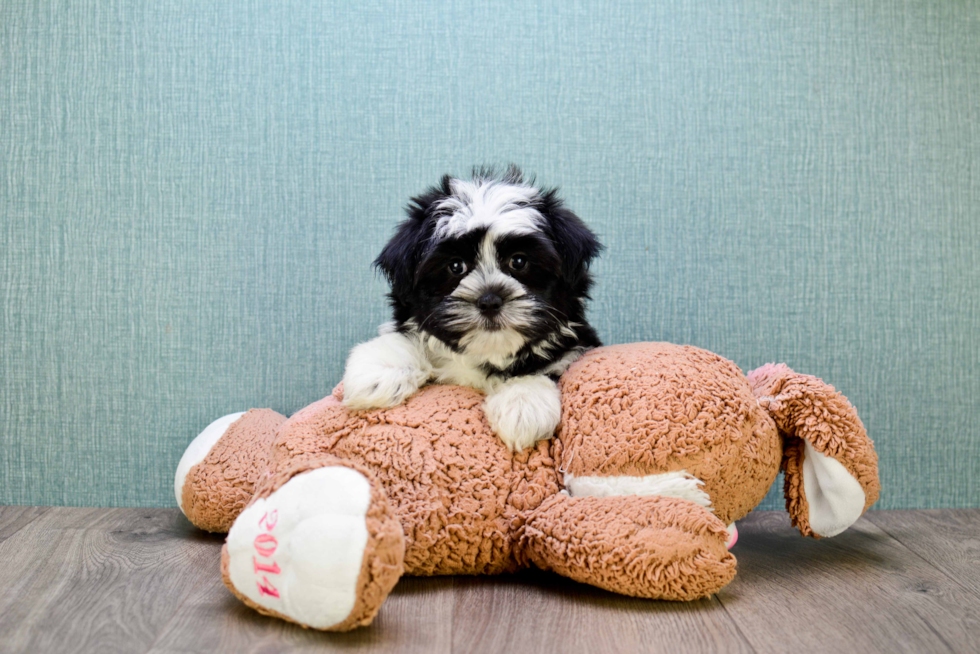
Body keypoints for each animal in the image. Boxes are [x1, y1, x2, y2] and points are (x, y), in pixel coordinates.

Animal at [340, 168, 600, 452]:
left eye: (519, 261)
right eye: (456, 266)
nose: (489, 300)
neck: (488, 352)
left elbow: (543, 366)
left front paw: (523, 404)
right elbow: (404, 338)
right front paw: (381, 371)